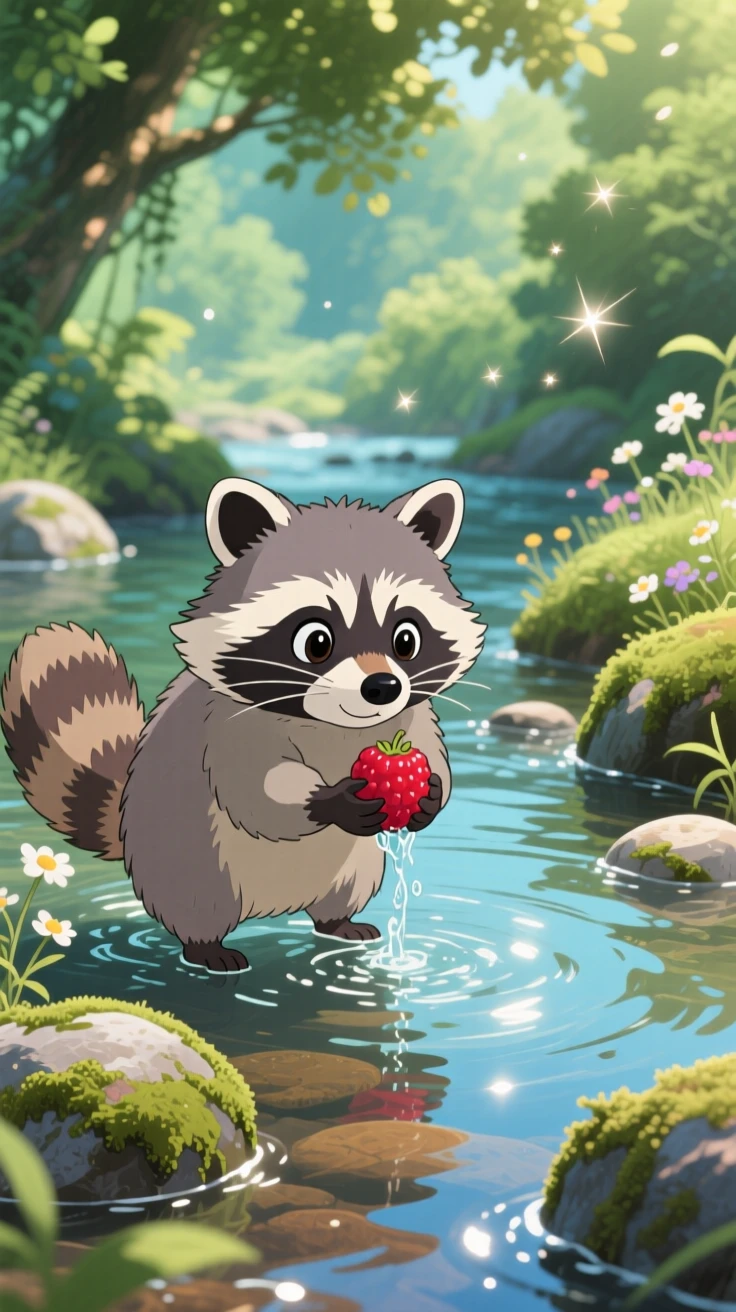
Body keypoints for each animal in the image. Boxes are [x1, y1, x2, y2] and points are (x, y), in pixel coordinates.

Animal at [1, 478, 485, 972]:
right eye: (316, 642)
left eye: (406, 638)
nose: (382, 687)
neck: (333, 723)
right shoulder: (226, 726)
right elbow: (258, 789)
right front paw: (330, 800)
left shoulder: (409, 717)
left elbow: (428, 752)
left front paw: (430, 795)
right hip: (187, 854)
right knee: (198, 898)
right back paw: (205, 946)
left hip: (353, 865)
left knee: (345, 889)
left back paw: (338, 923)